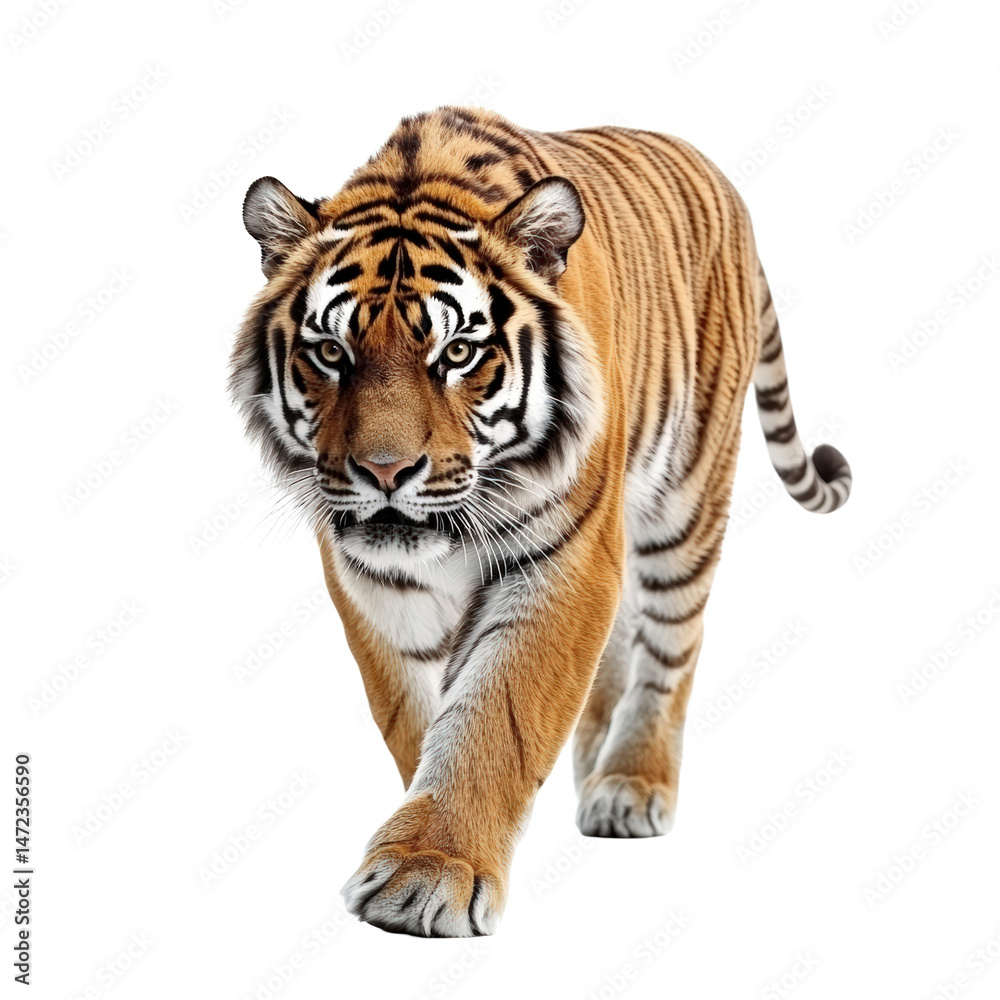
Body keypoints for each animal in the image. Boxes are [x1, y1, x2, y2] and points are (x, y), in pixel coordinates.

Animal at [229, 105, 851, 937]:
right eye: (330, 351)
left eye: (459, 352)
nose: (385, 473)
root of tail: (716, 173)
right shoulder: (373, 577)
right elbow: (416, 714)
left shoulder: (563, 554)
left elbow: (499, 712)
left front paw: (430, 871)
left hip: (687, 496)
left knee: (673, 641)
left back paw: (631, 781)